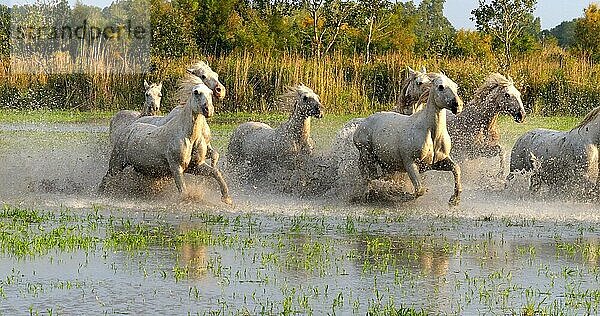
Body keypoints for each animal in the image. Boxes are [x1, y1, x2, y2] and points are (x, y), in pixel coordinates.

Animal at [98, 78, 232, 204]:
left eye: (210, 93)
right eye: (196, 92)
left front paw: (227, 199)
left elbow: (215, 172)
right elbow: (183, 190)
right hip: (117, 163)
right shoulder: (176, 167)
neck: (189, 136)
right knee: (106, 178)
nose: (208, 110)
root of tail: (129, 127)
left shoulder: (196, 166)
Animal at [354, 72, 466, 206]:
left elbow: (456, 168)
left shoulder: (437, 162)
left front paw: (454, 200)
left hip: (385, 163)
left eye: (455, 86)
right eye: (440, 87)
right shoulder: (410, 163)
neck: (430, 134)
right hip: (367, 155)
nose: (458, 106)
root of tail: (362, 124)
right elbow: (419, 190)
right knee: (368, 177)